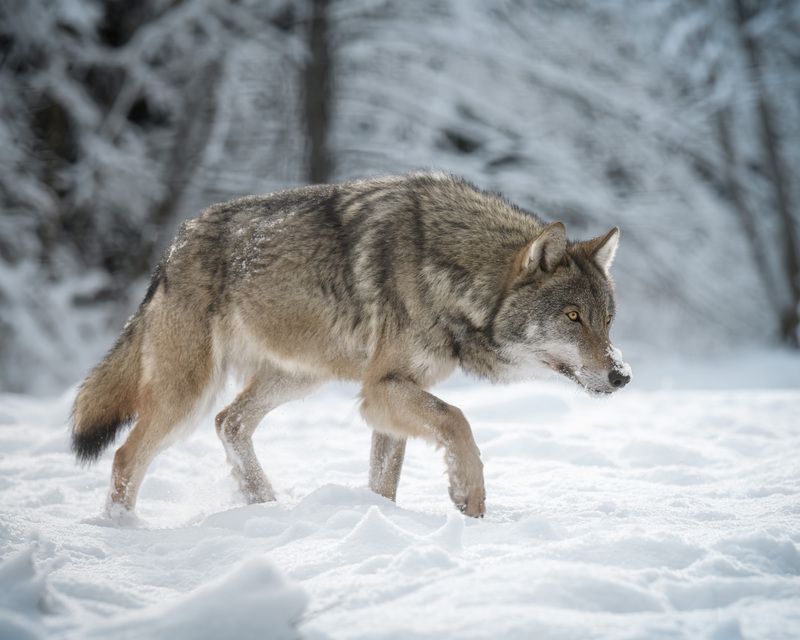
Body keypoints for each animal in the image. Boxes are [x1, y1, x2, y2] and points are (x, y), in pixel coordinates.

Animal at [71, 172, 630, 518]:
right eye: (572, 317)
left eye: (607, 321)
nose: (622, 375)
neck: (452, 270)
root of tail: (173, 247)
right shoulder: (382, 388)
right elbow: (458, 420)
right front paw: (467, 496)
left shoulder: (389, 393)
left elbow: (386, 478)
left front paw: (381, 520)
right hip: (189, 394)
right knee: (126, 456)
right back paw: (122, 533)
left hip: (297, 378)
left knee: (229, 423)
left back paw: (267, 505)